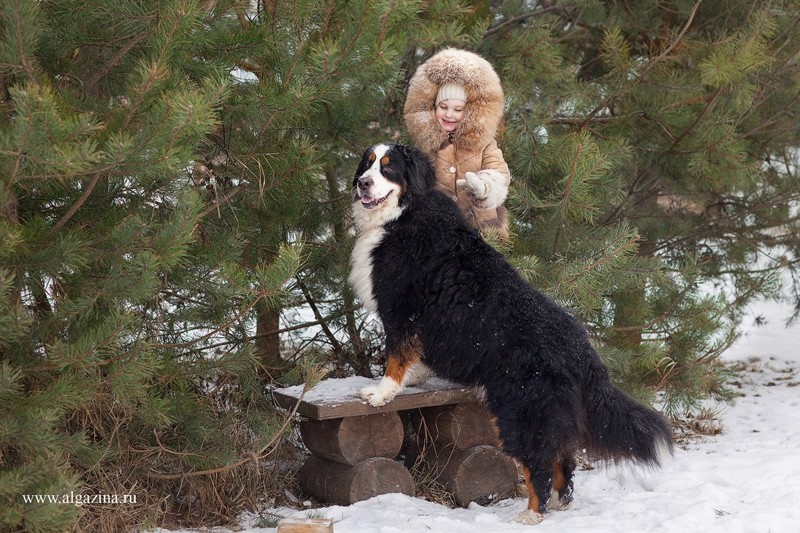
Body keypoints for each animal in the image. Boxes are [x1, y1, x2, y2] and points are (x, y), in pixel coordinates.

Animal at [346, 142, 672, 524]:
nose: (364, 184)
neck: (402, 214)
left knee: (538, 465)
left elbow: (396, 355)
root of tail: (582, 349)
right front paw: (414, 379)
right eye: (367, 164)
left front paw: (382, 393)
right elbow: (414, 354)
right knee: (563, 460)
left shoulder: (400, 308)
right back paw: (559, 503)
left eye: (388, 168)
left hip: (522, 410)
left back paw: (531, 513)